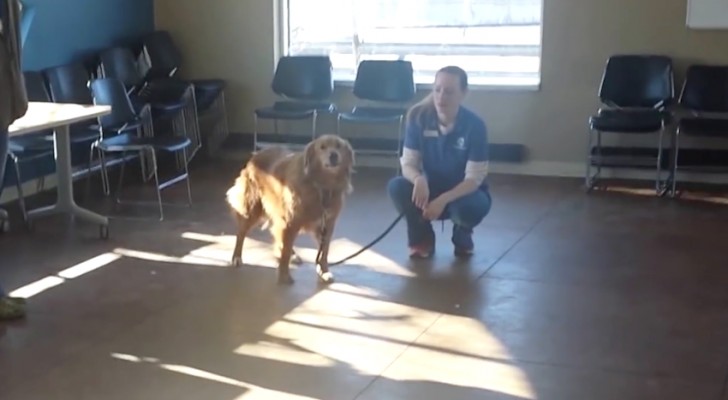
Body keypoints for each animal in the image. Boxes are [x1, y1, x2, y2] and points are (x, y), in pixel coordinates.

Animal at [225, 134, 356, 284]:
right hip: (253, 209)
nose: (333, 155)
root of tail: (256, 155)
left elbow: (324, 252)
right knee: (241, 234)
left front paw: (324, 271)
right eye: (322, 147)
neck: (322, 186)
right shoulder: (291, 221)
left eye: (339, 146)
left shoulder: (327, 225)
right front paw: (284, 275)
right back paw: (237, 257)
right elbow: (286, 251)